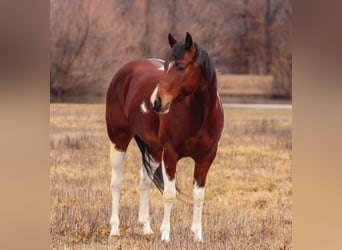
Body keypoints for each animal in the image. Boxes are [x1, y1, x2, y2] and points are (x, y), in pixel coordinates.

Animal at [105, 31, 226, 242]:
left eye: (181, 66)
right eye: (167, 65)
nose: (156, 101)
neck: (199, 117)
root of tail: (123, 72)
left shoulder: (206, 157)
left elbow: (199, 195)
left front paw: (198, 235)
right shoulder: (171, 154)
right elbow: (169, 194)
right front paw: (166, 235)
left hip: (153, 149)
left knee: (144, 181)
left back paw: (146, 228)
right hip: (119, 140)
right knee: (116, 182)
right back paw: (114, 229)